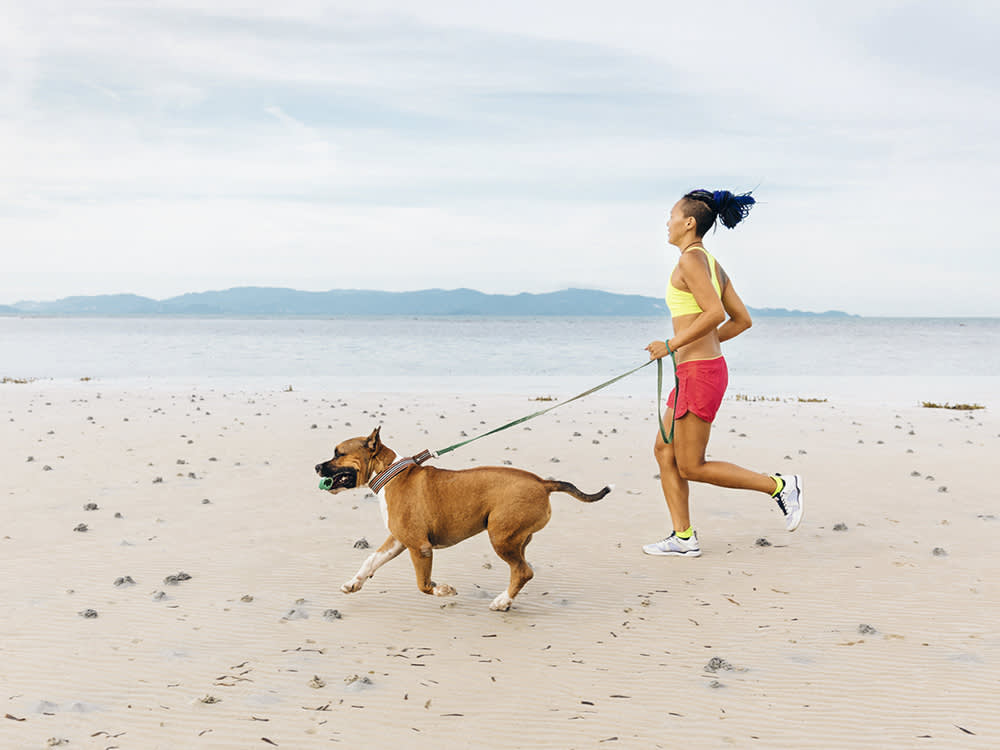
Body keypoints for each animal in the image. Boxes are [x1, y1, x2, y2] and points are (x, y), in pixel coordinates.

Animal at [314, 428, 608, 612]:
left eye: (338, 453)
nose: (316, 467)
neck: (390, 473)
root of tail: (543, 483)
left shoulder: (420, 548)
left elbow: (423, 585)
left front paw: (444, 590)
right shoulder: (398, 541)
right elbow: (371, 560)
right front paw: (353, 583)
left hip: (500, 537)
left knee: (523, 571)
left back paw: (501, 601)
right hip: (516, 538)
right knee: (521, 571)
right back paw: (506, 601)